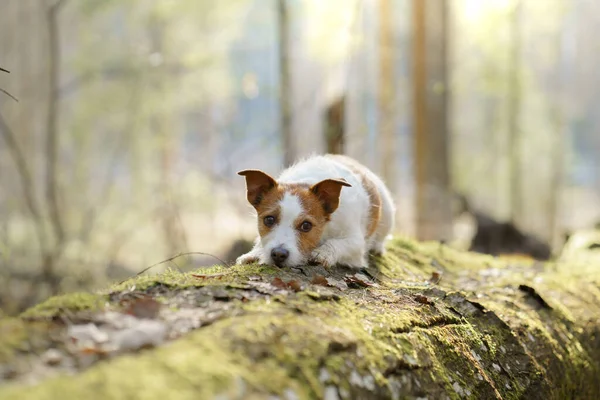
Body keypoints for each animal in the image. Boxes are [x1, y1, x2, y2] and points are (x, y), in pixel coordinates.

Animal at [237, 153, 396, 268]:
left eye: (306, 225)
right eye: (269, 220)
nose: (278, 254)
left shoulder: (355, 242)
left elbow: (338, 243)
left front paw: (323, 253)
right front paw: (255, 252)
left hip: (387, 212)